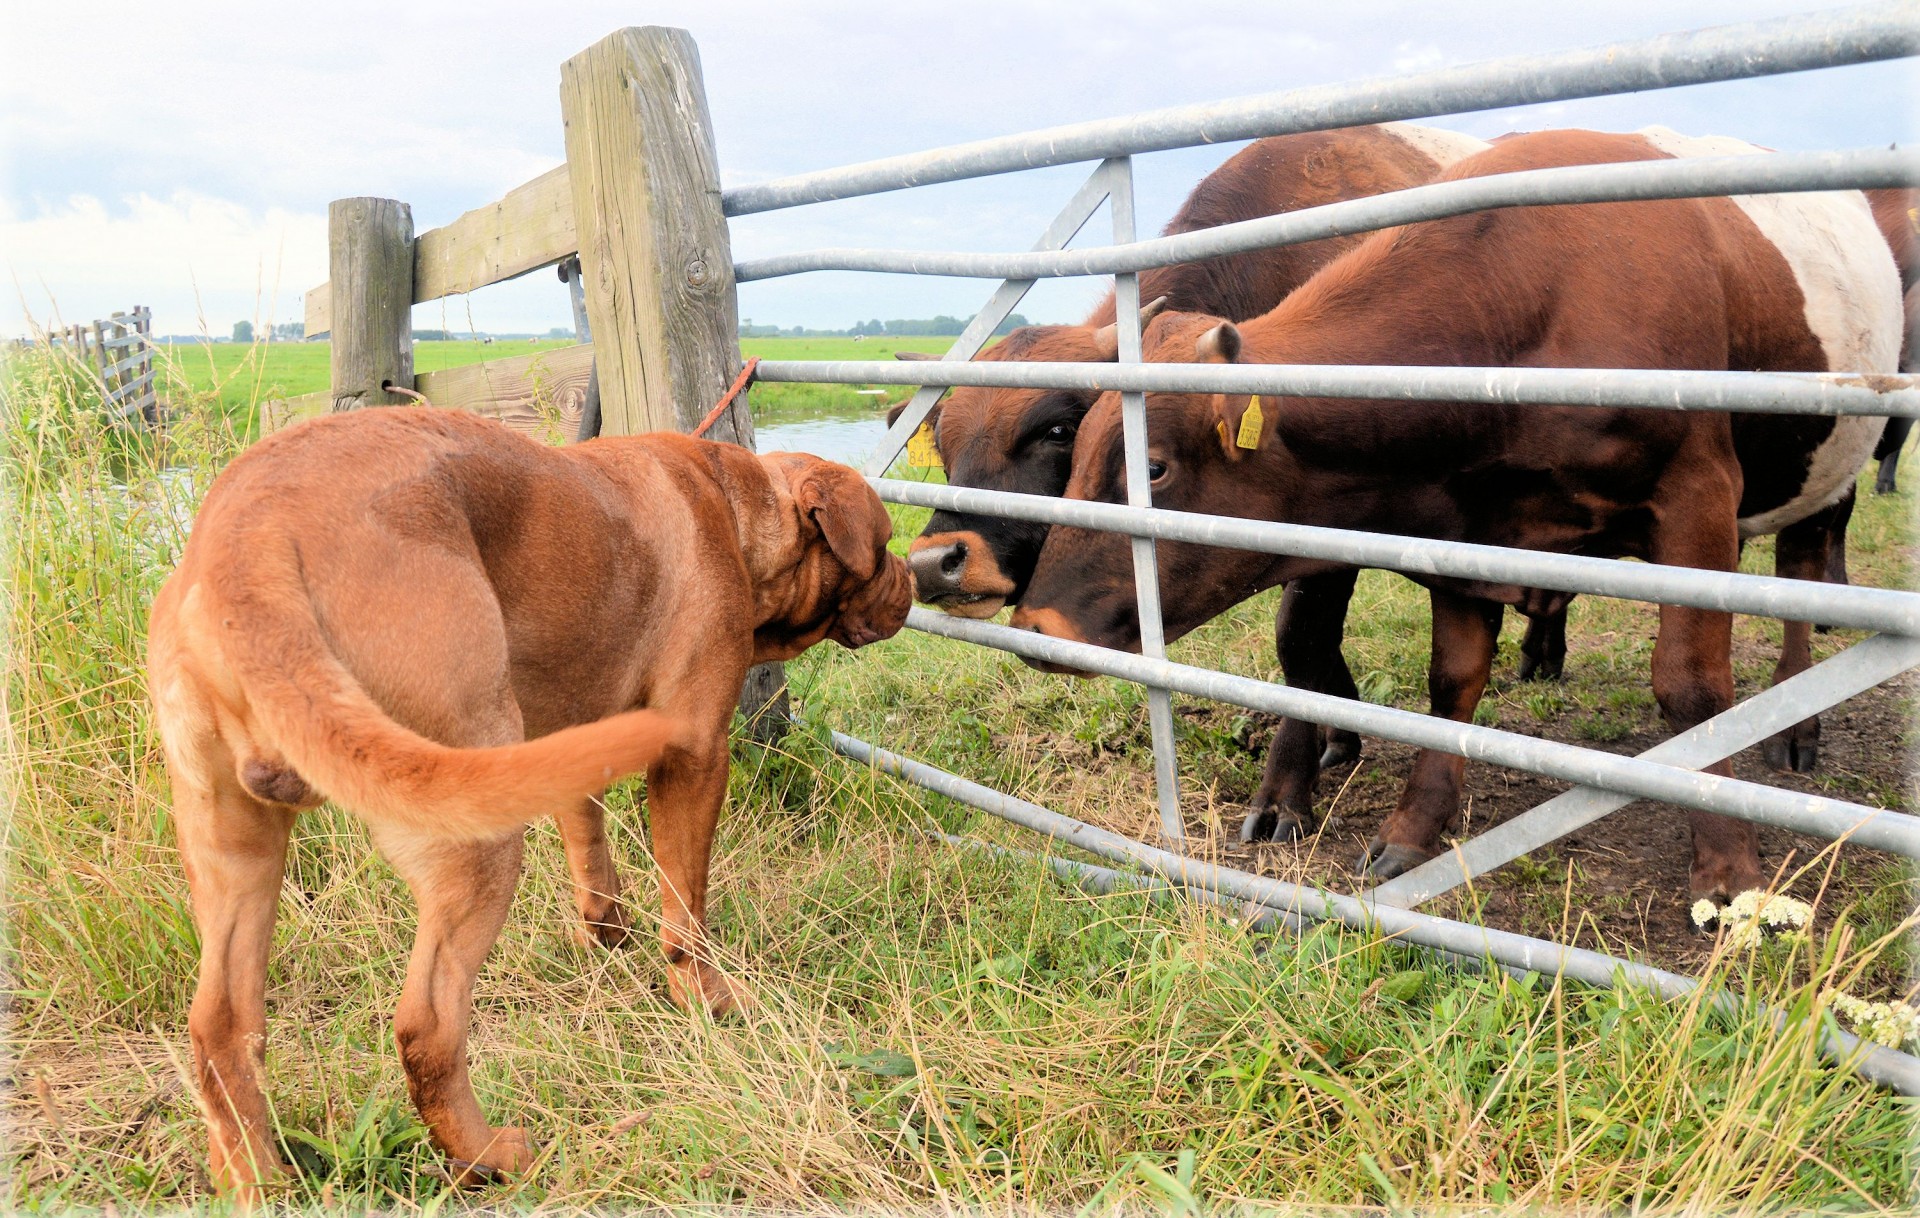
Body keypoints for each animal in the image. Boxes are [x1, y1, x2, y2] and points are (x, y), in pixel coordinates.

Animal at [145, 405, 910, 1198]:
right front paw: (706, 996)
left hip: (235, 853)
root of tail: (249, 546)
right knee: (427, 1026)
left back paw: (251, 1175)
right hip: (473, 836)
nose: (916, 579)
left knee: (221, 1028)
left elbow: (590, 850)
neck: (737, 507)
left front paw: (607, 936)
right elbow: (686, 907)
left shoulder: (568, 744)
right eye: (885, 546)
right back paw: (491, 1156)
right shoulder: (696, 753)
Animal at [1013, 127, 1896, 902]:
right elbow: (1452, 685)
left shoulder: (1696, 504)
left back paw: (1793, 722)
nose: (1036, 626)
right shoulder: (1470, 535)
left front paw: (1728, 867)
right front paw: (1414, 828)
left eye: (1153, 466)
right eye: (1072, 446)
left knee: (1801, 579)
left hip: (1826, 473)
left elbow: (1692, 687)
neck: (1530, 305)